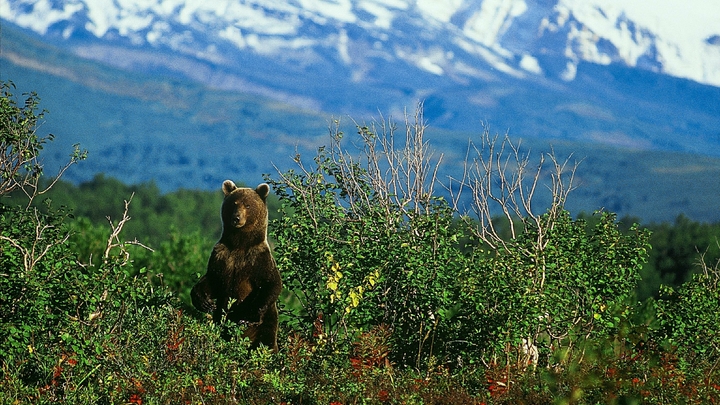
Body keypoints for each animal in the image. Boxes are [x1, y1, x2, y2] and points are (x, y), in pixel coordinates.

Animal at [193, 180, 282, 350]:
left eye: (248, 205)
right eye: (234, 203)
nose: (236, 218)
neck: (240, 244)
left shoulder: (258, 259)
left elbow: (271, 284)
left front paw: (249, 316)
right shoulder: (222, 255)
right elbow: (212, 279)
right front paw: (204, 302)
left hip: (267, 325)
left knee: (265, 342)